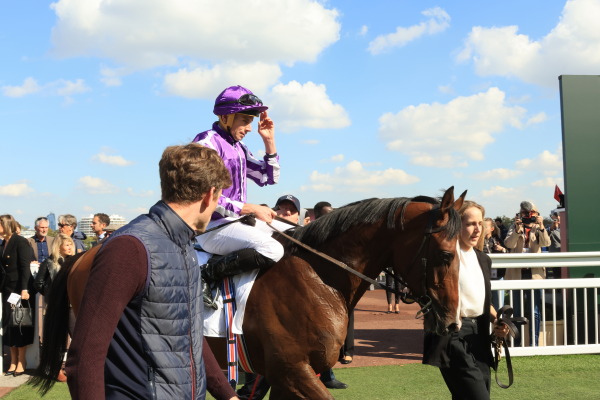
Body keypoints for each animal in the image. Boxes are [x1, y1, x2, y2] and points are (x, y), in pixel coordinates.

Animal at [31, 188, 464, 400]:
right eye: (445, 254)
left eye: (465, 250)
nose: (454, 321)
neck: (317, 277)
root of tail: (89, 252)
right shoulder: (294, 371)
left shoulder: (279, 377)